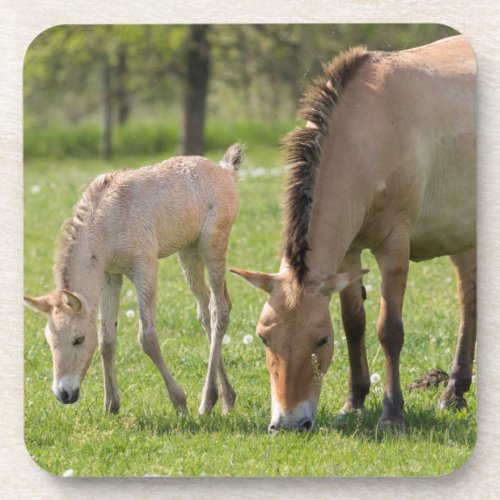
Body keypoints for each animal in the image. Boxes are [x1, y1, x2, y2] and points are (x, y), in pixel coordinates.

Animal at [25, 146, 244, 418]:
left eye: (78, 339)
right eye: (48, 340)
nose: (64, 394)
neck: (108, 221)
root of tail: (225, 171)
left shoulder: (144, 268)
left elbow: (147, 338)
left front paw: (180, 402)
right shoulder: (110, 276)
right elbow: (106, 339)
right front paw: (111, 405)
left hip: (212, 246)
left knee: (221, 309)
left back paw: (206, 401)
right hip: (188, 252)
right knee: (206, 313)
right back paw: (225, 398)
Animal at [232, 37, 474, 432]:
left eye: (320, 340)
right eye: (263, 338)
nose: (288, 423)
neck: (370, 130)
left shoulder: (394, 248)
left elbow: (389, 330)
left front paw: (392, 414)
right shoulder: (348, 255)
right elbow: (354, 323)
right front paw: (354, 402)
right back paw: (454, 391)